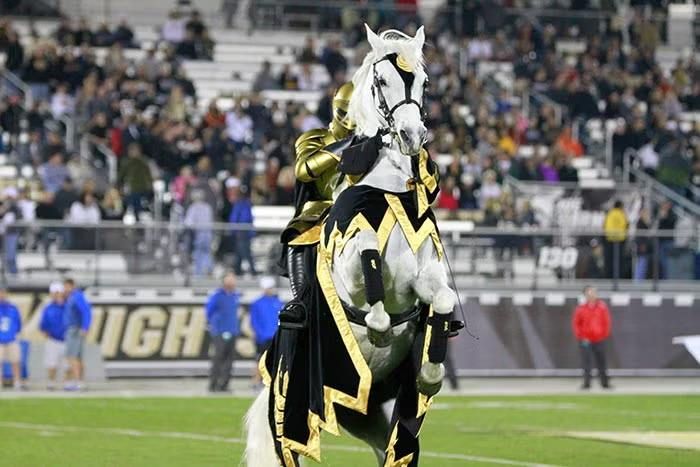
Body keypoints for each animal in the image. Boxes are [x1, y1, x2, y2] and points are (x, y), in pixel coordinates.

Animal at [246, 25, 460, 467]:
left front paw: (431, 375)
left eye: (424, 81)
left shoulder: (425, 272)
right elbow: (368, 257)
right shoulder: (348, 257)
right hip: (293, 406)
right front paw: (377, 326)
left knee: (392, 450)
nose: (412, 137)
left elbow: (443, 298)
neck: (387, 188)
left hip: (362, 413)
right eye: (382, 81)